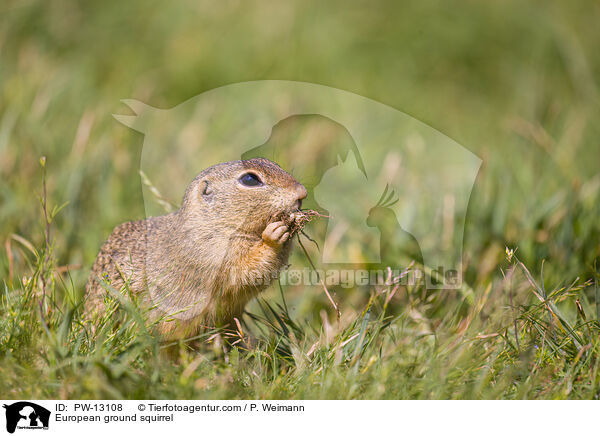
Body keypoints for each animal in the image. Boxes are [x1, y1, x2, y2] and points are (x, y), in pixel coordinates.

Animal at [86, 158, 308, 338]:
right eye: (250, 179)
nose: (302, 192)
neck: (212, 223)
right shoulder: (207, 254)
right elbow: (243, 271)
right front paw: (273, 235)